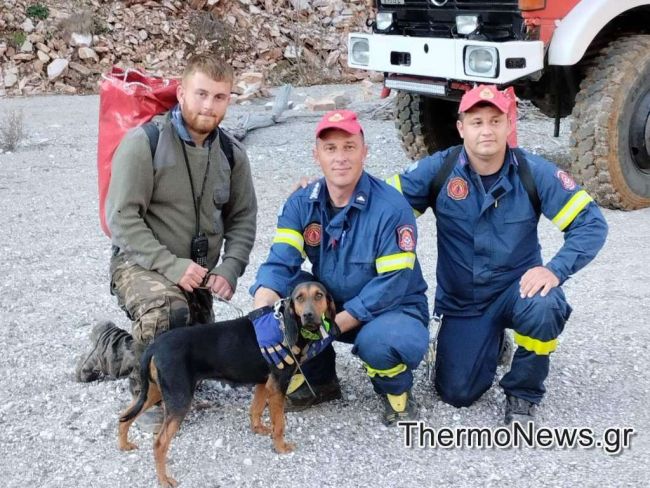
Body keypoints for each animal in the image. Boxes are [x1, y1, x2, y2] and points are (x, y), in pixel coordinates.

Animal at [117, 281, 336, 488]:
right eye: (299, 297)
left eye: (319, 295)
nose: (308, 315)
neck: (284, 325)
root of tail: (155, 345)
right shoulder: (278, 384)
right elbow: (279, 424)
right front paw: (281, 447)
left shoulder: (264, 383)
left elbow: (256, 409)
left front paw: (258, 429)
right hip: (179, 398)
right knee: (159, 443)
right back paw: (164, 480)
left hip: (156, 391)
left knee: (124, 416)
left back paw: (124, 445)